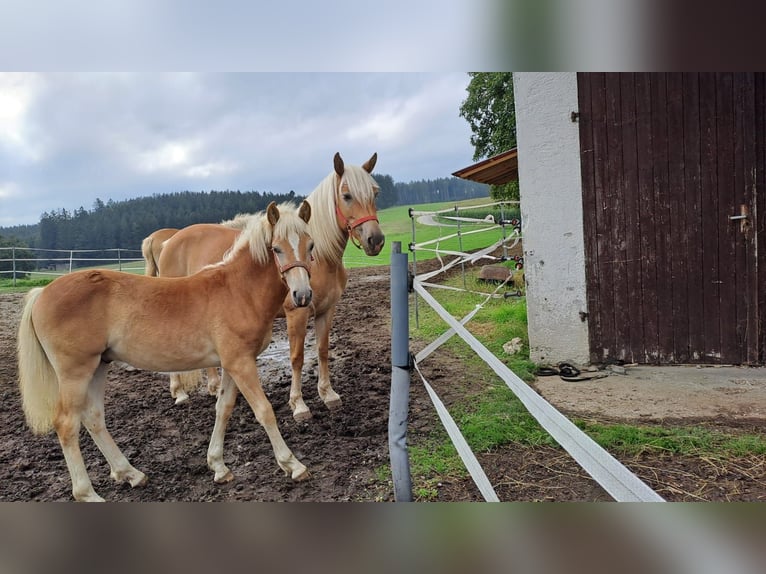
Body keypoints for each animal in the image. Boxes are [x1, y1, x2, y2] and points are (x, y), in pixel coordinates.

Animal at [20, 204, 316, 504]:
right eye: (277, 248)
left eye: (311, 245)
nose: (302, 295)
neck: (237, 290)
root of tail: (41, 293)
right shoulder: (240, 363)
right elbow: (264, 411)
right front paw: (293, 465)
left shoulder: (233, 363)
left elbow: (223, 409)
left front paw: (218, 466)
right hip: (75, 373)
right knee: (67, 424)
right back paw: (87, 493)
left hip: (99, 366)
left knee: (93, 417)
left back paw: (130, 473)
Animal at [158, 153, 384, 420]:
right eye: (347, 195)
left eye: (375, 193)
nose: (375, 240)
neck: (322, 260)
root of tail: (169, 242)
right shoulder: (296, 313)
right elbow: (297, 357)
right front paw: (298, 404)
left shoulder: (326, 310)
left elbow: (322, 350)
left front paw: (328, 394)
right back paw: (179, 393)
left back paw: (212, 387)